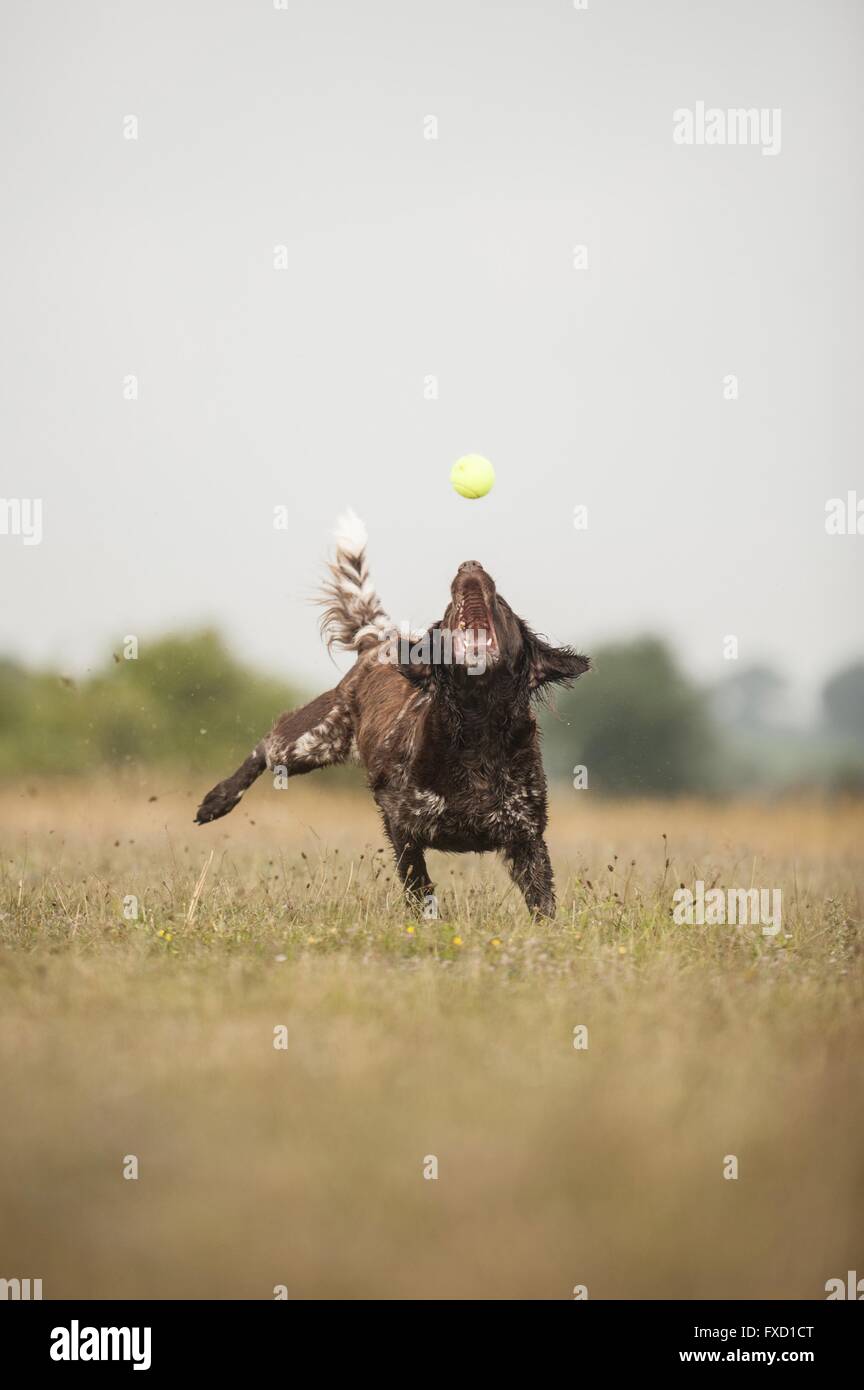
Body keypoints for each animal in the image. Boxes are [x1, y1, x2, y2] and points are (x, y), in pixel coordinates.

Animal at [195, 517, 588, 917]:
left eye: (503, 606)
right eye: (448, 609)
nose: (470, 565)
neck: (478, 728)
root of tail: (378, 639)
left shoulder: (526, 837)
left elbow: (542, 901)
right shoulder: (403, 824)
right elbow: (420, 886)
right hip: (312, 742)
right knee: (265, 746)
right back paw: (217, 800)